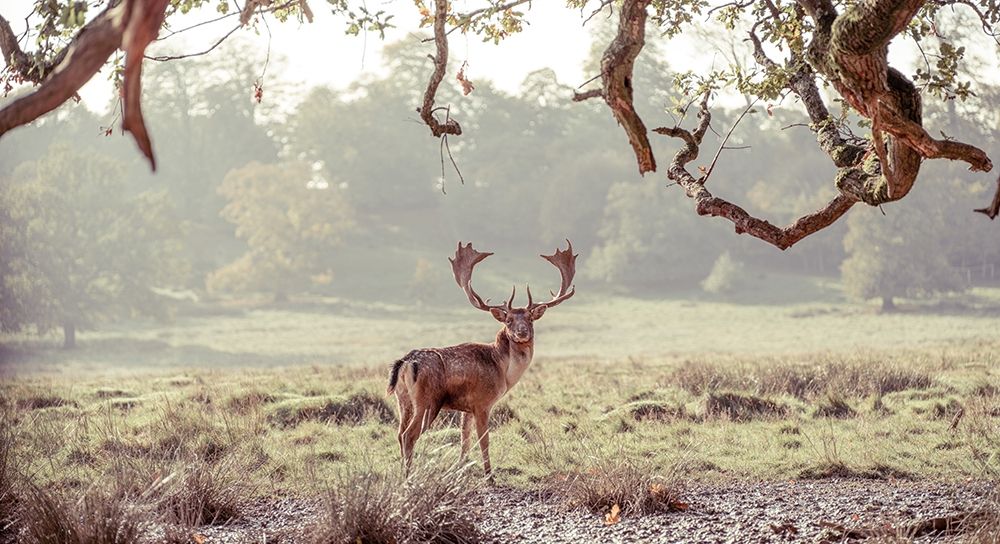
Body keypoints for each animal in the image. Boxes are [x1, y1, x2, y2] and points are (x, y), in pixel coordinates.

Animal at [386, 240, 577, 478]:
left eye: (530, 319)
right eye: (508, 320)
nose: (522, 332)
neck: (503, 371)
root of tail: (405, 363)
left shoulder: (466, 408)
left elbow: (464, 439)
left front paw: (460, 469)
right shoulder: (482, 402)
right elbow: (484, 440)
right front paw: (489, 475)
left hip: (402, 399)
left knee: (399, 433)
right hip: (427, 401)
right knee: (408, 435)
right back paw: (408, 476)